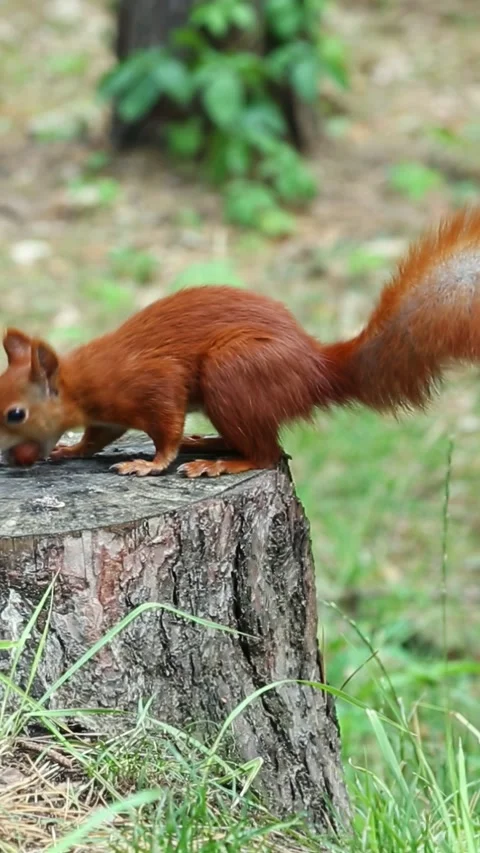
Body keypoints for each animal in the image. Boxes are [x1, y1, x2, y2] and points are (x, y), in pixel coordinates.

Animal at [1, 207, 480, 478]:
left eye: (15, 414)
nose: (7, 459)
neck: (81, 381)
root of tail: (319, 370)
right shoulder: (106, 416)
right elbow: (99, 435)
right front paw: (71, 449)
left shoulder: (152, 382)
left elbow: (166, 427)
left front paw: (150, 463)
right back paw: (207, 443)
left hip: (234, 373)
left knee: (269, 454)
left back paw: (220, 462)